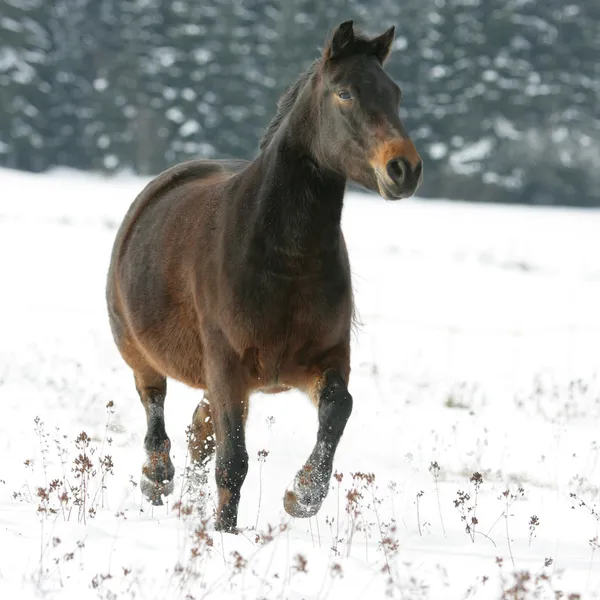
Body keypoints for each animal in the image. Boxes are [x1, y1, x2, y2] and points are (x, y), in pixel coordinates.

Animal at [105, 21, 422, 532]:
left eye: (395, 94)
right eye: (345, 93)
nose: (404, 168)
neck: (284, 262)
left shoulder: (325, 358)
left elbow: (339, 408)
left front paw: (302, 496)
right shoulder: (227, 366)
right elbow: (233, 459)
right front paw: (224, 529)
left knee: (198, 430)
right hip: (140, 352)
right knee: (155, 405)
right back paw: (156, 478)